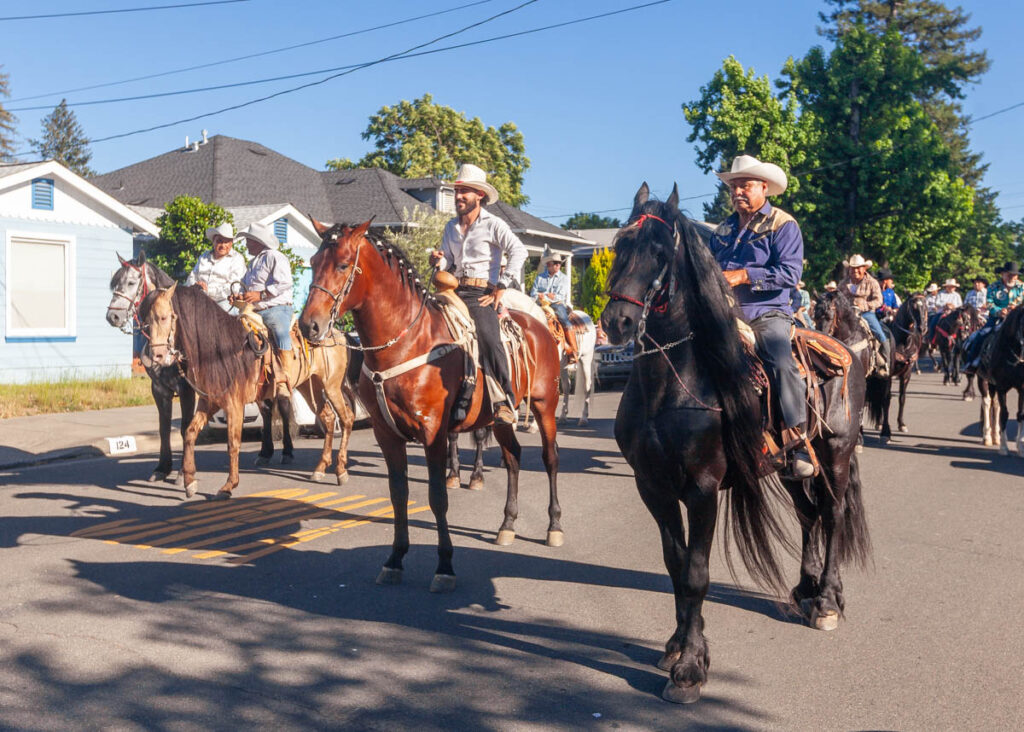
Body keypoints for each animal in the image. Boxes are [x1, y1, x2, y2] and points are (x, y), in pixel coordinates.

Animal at [106, 252, 196, 482]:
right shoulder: (159, 389)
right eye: (114, 284)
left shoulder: (187, 389)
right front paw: (162, 467)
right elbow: (164, 428)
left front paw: (183, 471)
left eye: (131, 282)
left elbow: (185, 428)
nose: (113, 316)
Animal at [141, 282, 355, 498]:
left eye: (164, 317)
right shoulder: (208, 402)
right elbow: (190, 433)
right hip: (310, 387)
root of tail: (339, 335)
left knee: (346, 418)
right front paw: (189, 481)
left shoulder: (234, 405)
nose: (157, 355)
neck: (219, 352)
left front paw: (228, 486)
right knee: (329, 418)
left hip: (331, 386)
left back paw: (340, 471)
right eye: (146, 321)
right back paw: (320, 468)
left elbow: (233, 443)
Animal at [299, 219, 563, 593]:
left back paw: (554, 527)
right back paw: (507, 525)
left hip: (545, 406)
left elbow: (437, 497)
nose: (309, 325)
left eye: (342, 264)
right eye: (312, 261)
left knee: (550, 459)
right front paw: (395, 559)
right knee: (513, 458)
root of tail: (539, 325)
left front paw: (445, 566)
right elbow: (399, 494)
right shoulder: (386, 434)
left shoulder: (434, 431)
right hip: (500, 418)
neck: (406, 341)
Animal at [601, 183, 869, 704]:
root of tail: (846, 350)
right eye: (620, 246)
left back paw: (827, 600)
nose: (618, 323)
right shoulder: (653, 487)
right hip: (794, 470)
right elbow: (676, 566)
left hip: (837, 456)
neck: (673, 383)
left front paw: (690, 668)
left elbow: (697, 574)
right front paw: (676, 646)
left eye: (660, 252)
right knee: (810, 516)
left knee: (833, 515)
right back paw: (805, 590)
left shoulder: (703, 490)